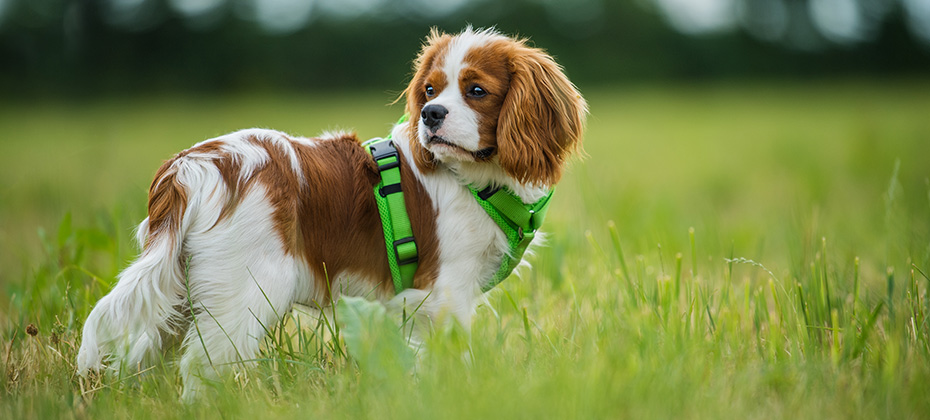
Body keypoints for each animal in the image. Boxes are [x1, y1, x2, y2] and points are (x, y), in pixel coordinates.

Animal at [76, 27, 584, 400]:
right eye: (430, 90)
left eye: (476, 90)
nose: (432, 115)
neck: (474, 177)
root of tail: (193, 164)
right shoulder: (445, 295)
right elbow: (454, 357)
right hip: (246, 293)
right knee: (203, 367)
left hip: (183, 289)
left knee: (144, 349)